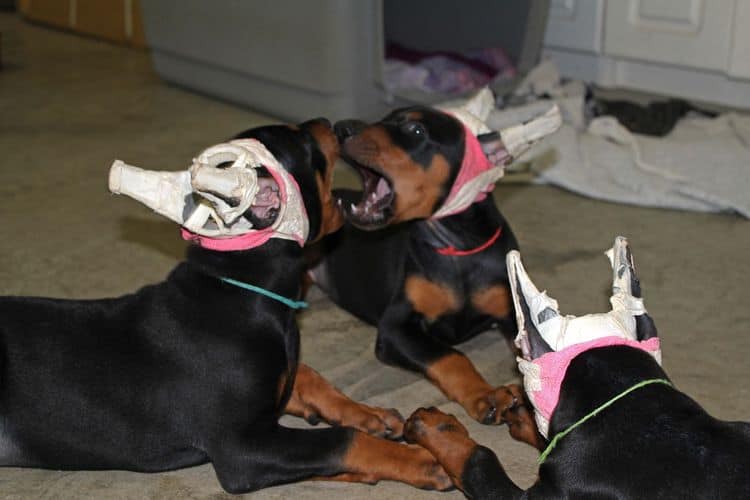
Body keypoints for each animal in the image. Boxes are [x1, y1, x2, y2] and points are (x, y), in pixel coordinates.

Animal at [0, 119, 450, 494]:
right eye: (305, 144)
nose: (331, 124)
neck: (240, 289)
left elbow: (308, 377)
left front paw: (367, 414)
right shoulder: (242, 450)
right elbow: (340, 441)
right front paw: (422, 460)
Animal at [308, 90, 560, 434]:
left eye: (415, 130)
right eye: (384, 118)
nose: (340, 127)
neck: (456, 248)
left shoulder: (511, 314)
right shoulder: (395, 327)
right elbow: (451, 356)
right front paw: (485, 395)